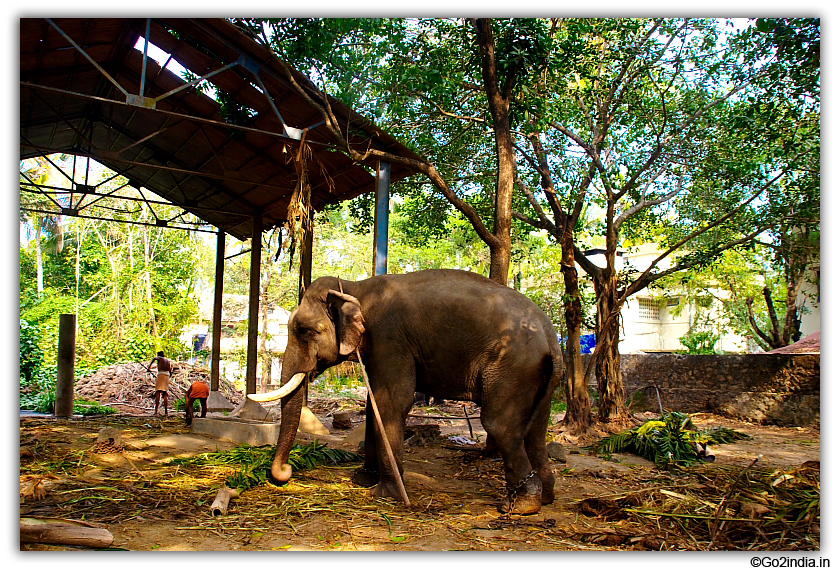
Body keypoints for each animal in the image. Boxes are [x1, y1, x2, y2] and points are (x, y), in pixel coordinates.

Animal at [251, 268, 564, 512]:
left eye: (304, 330)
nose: (287, 472)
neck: (354, 287)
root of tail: (550, 334)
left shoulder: (388, 337)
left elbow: (391, 402)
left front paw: (385, 494)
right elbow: (374, 404)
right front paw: (363, 479)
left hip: (513, 365)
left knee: (499, 424)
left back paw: (521, 506)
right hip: (537, 374)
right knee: (536, 429)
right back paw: (546, 496)